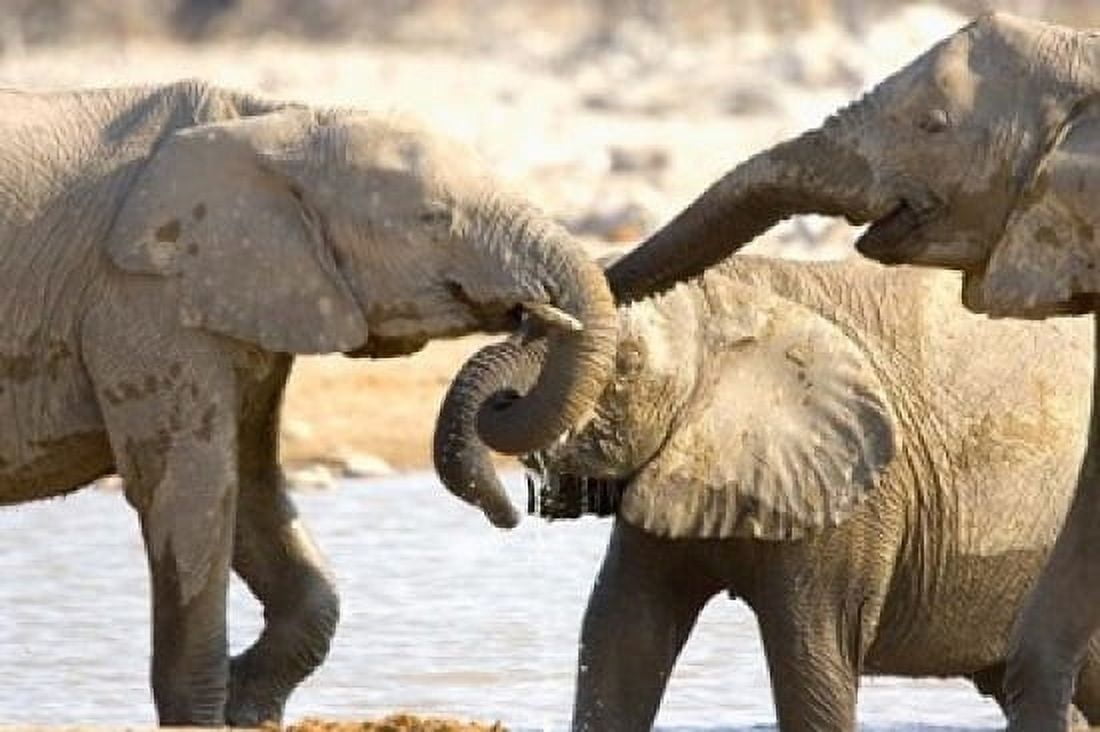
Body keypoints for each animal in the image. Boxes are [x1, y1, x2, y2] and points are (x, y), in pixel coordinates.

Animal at [0, 79, 618, 726]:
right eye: (433, 219)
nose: (515, 513)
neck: (271, 119)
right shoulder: (144, 303)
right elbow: (191, 492)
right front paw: (214, 709)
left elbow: (252, 489)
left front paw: (248, 707)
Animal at [434, 254, 1100, 731]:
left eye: (624, 365)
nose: (511, 512)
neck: (734, 296)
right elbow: (621, 636)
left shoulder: (853, 489)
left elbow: (812, 660)